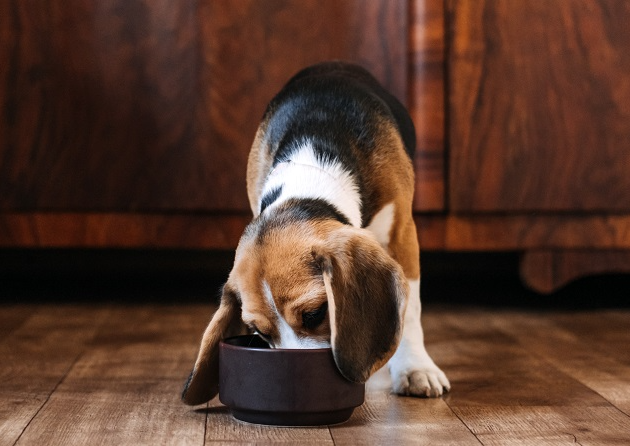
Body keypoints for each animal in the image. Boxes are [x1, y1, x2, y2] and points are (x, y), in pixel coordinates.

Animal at [181, 61, 450, 406]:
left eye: (315, 314)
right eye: (259, 333)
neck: (313, 168)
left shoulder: (402, 234)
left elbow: (412, 310)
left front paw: (415, 368)